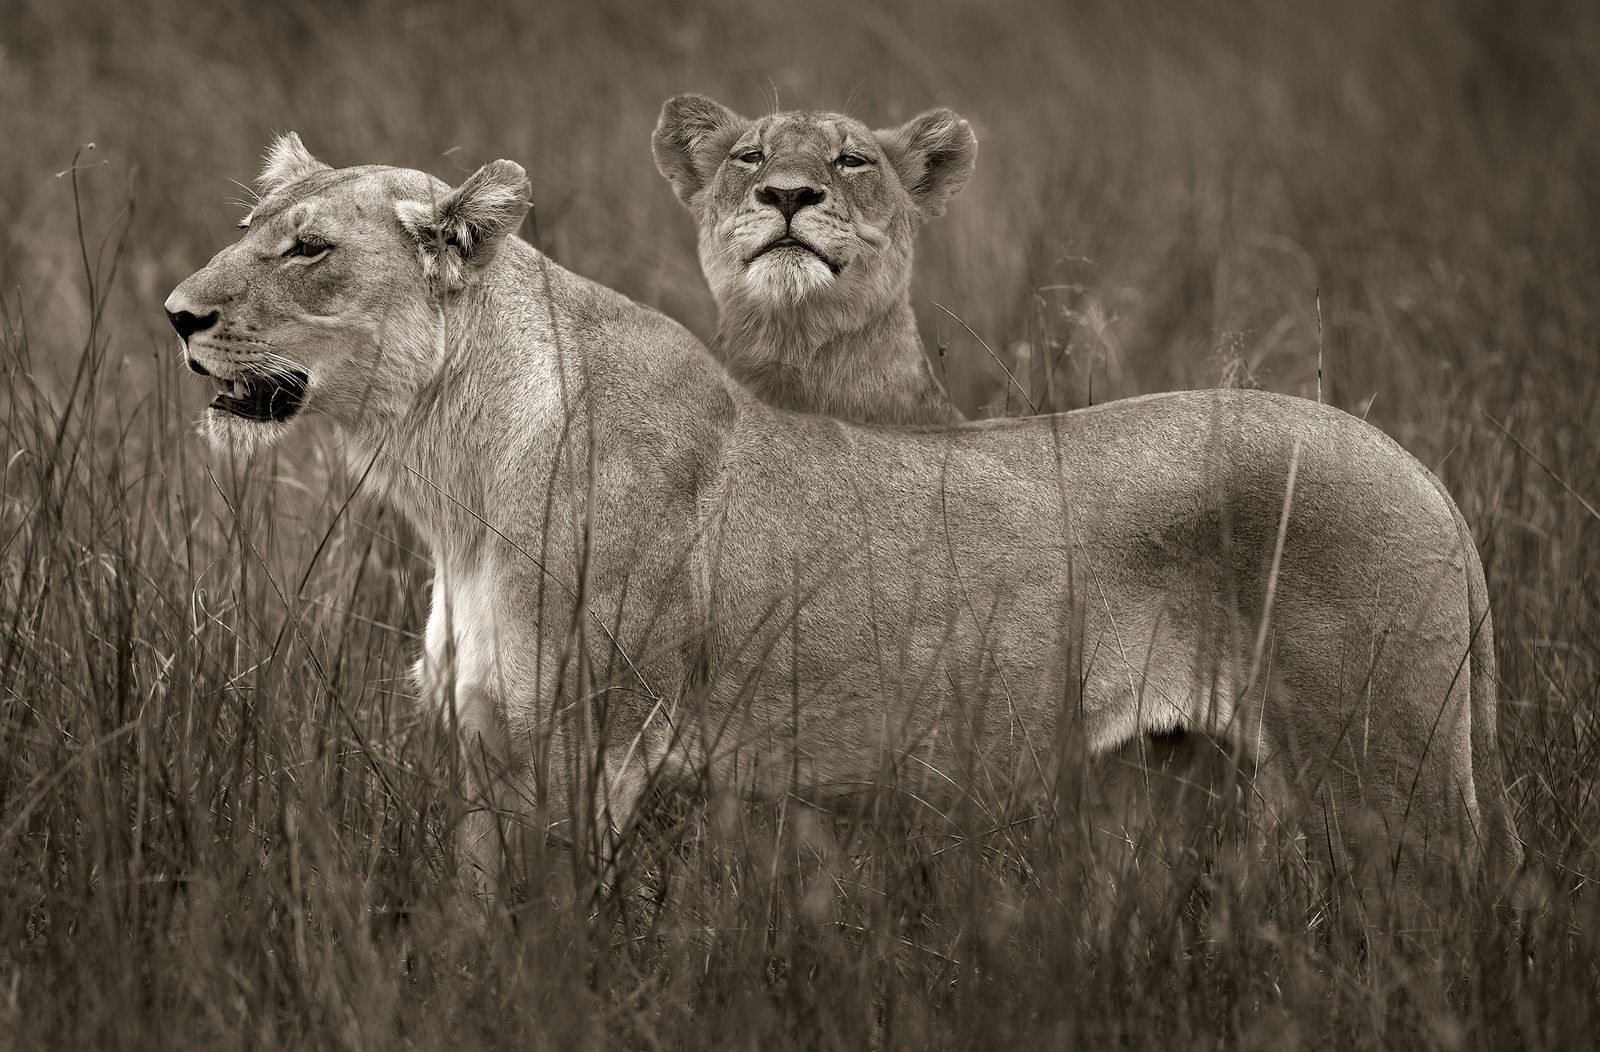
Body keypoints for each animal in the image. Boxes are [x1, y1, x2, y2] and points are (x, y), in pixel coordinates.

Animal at [164, 136, 1521, 902]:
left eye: (307, 250)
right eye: (249, 234)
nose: (176, 314)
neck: (442, 473)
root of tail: (1423, 474)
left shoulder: (582, 746)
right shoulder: (492, 748)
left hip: (1391, 775)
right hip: (1179, 778)